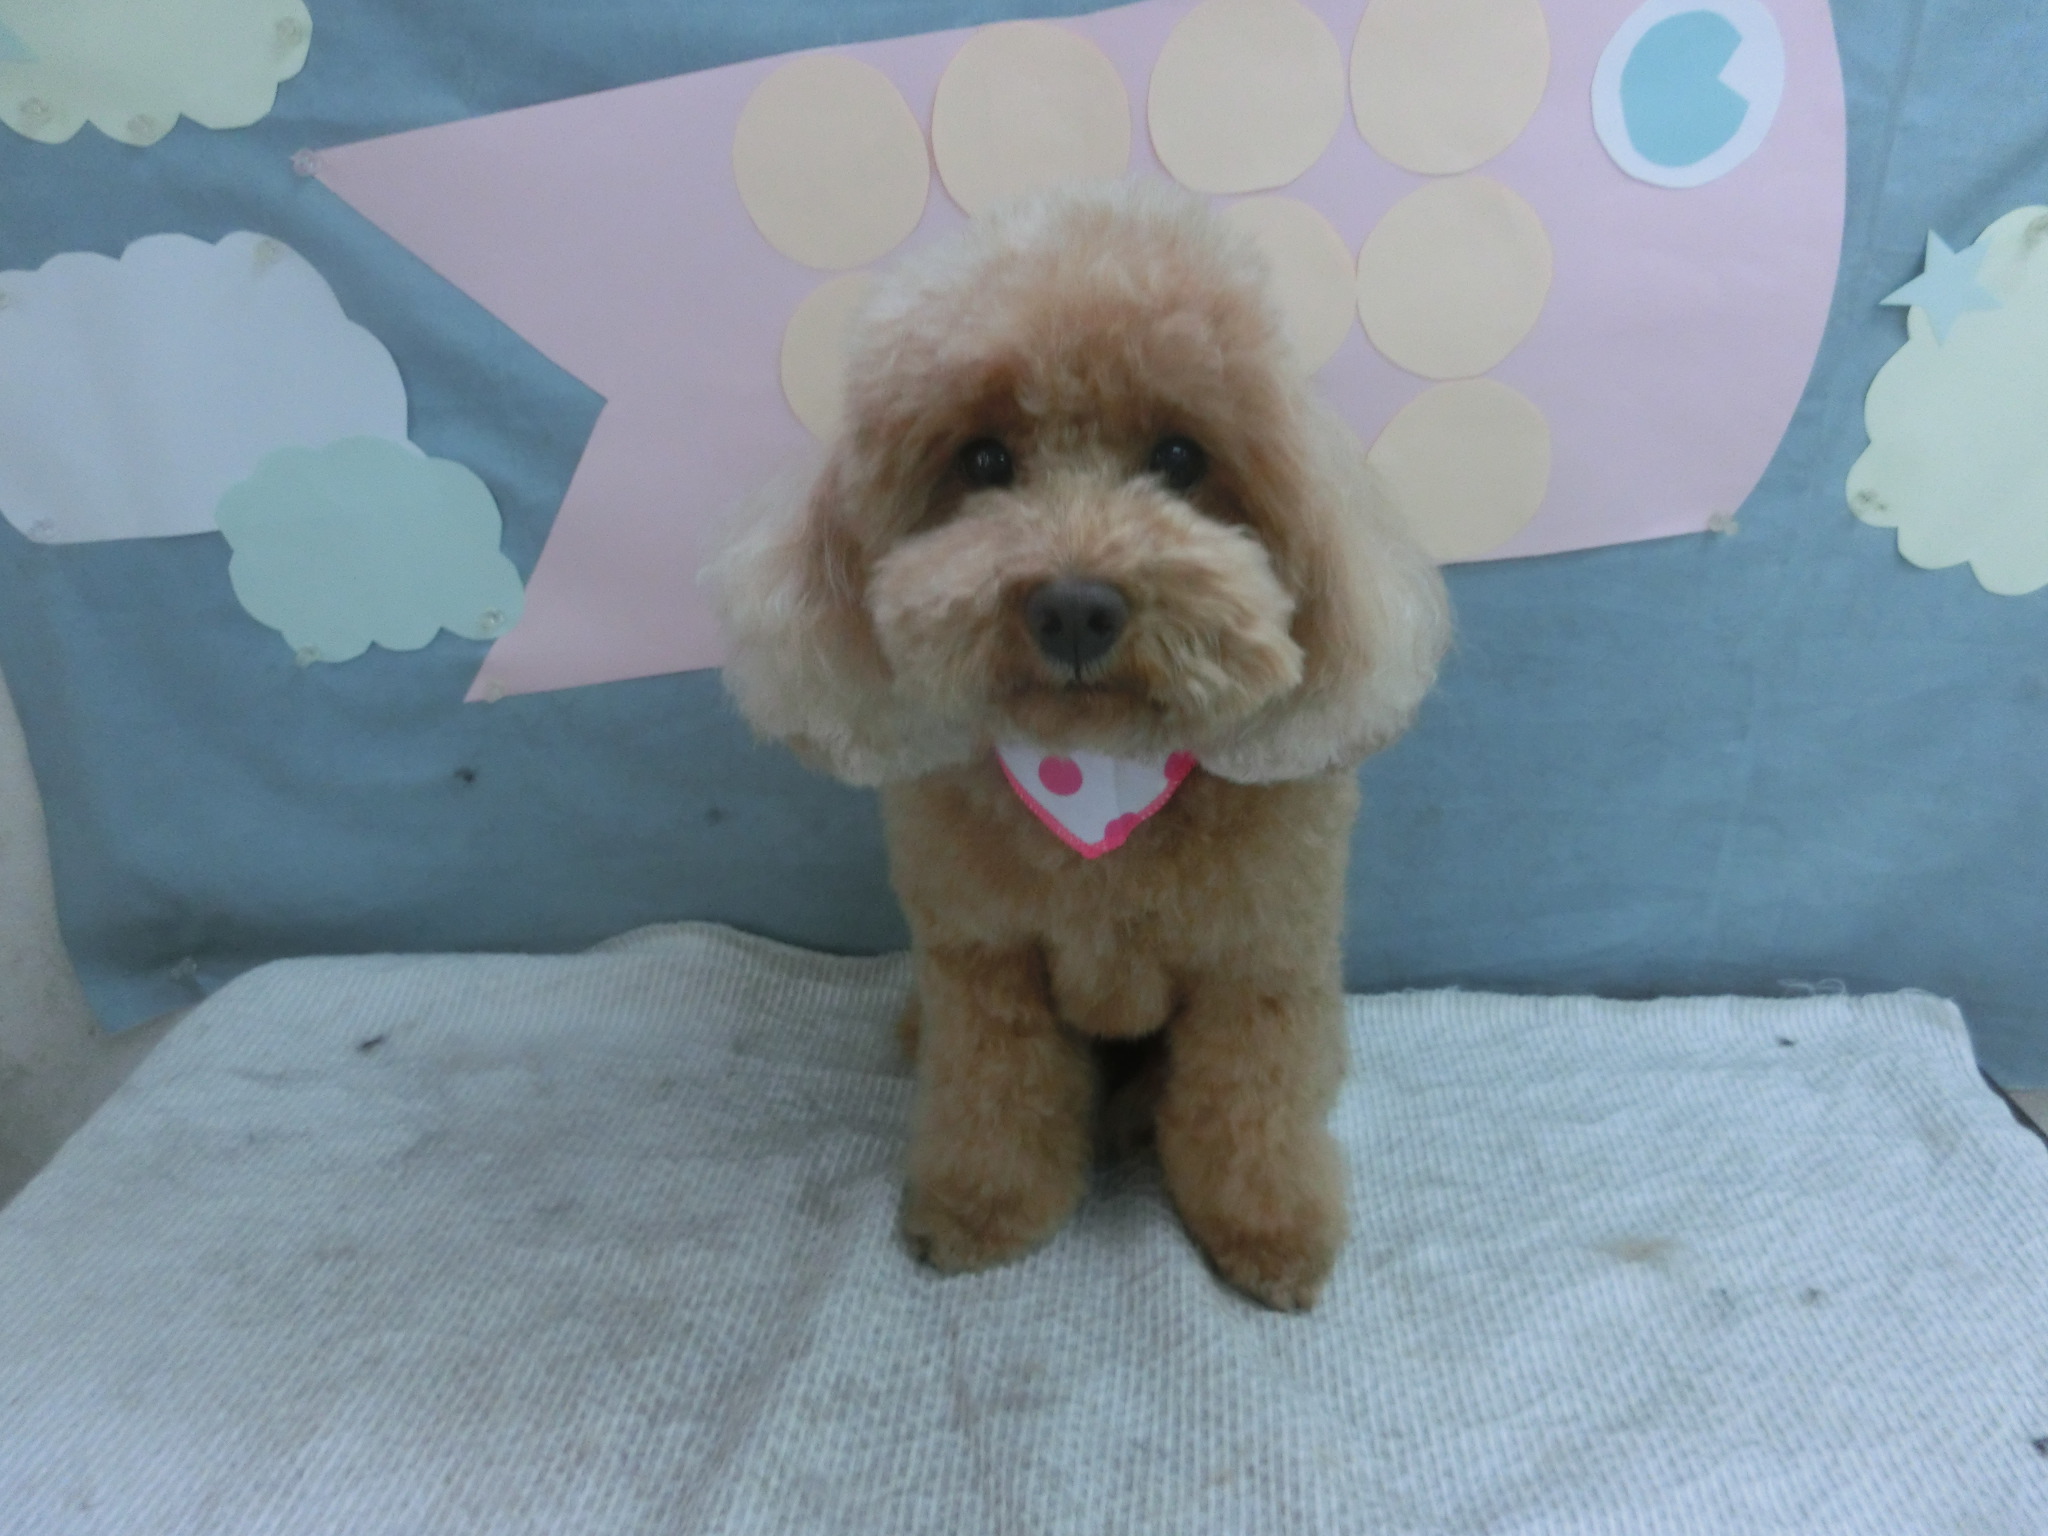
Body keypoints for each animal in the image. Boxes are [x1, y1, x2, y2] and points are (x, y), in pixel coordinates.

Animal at [709, 180, 1450, 1310]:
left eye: (1180, 457)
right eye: (981, 461)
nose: (1072, 607)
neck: (1099, 773)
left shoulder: (1257, 963)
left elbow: (1252, 1106)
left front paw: (1268, 1231)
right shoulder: (983, 958)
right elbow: (996, 1095)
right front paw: (980, 1213)